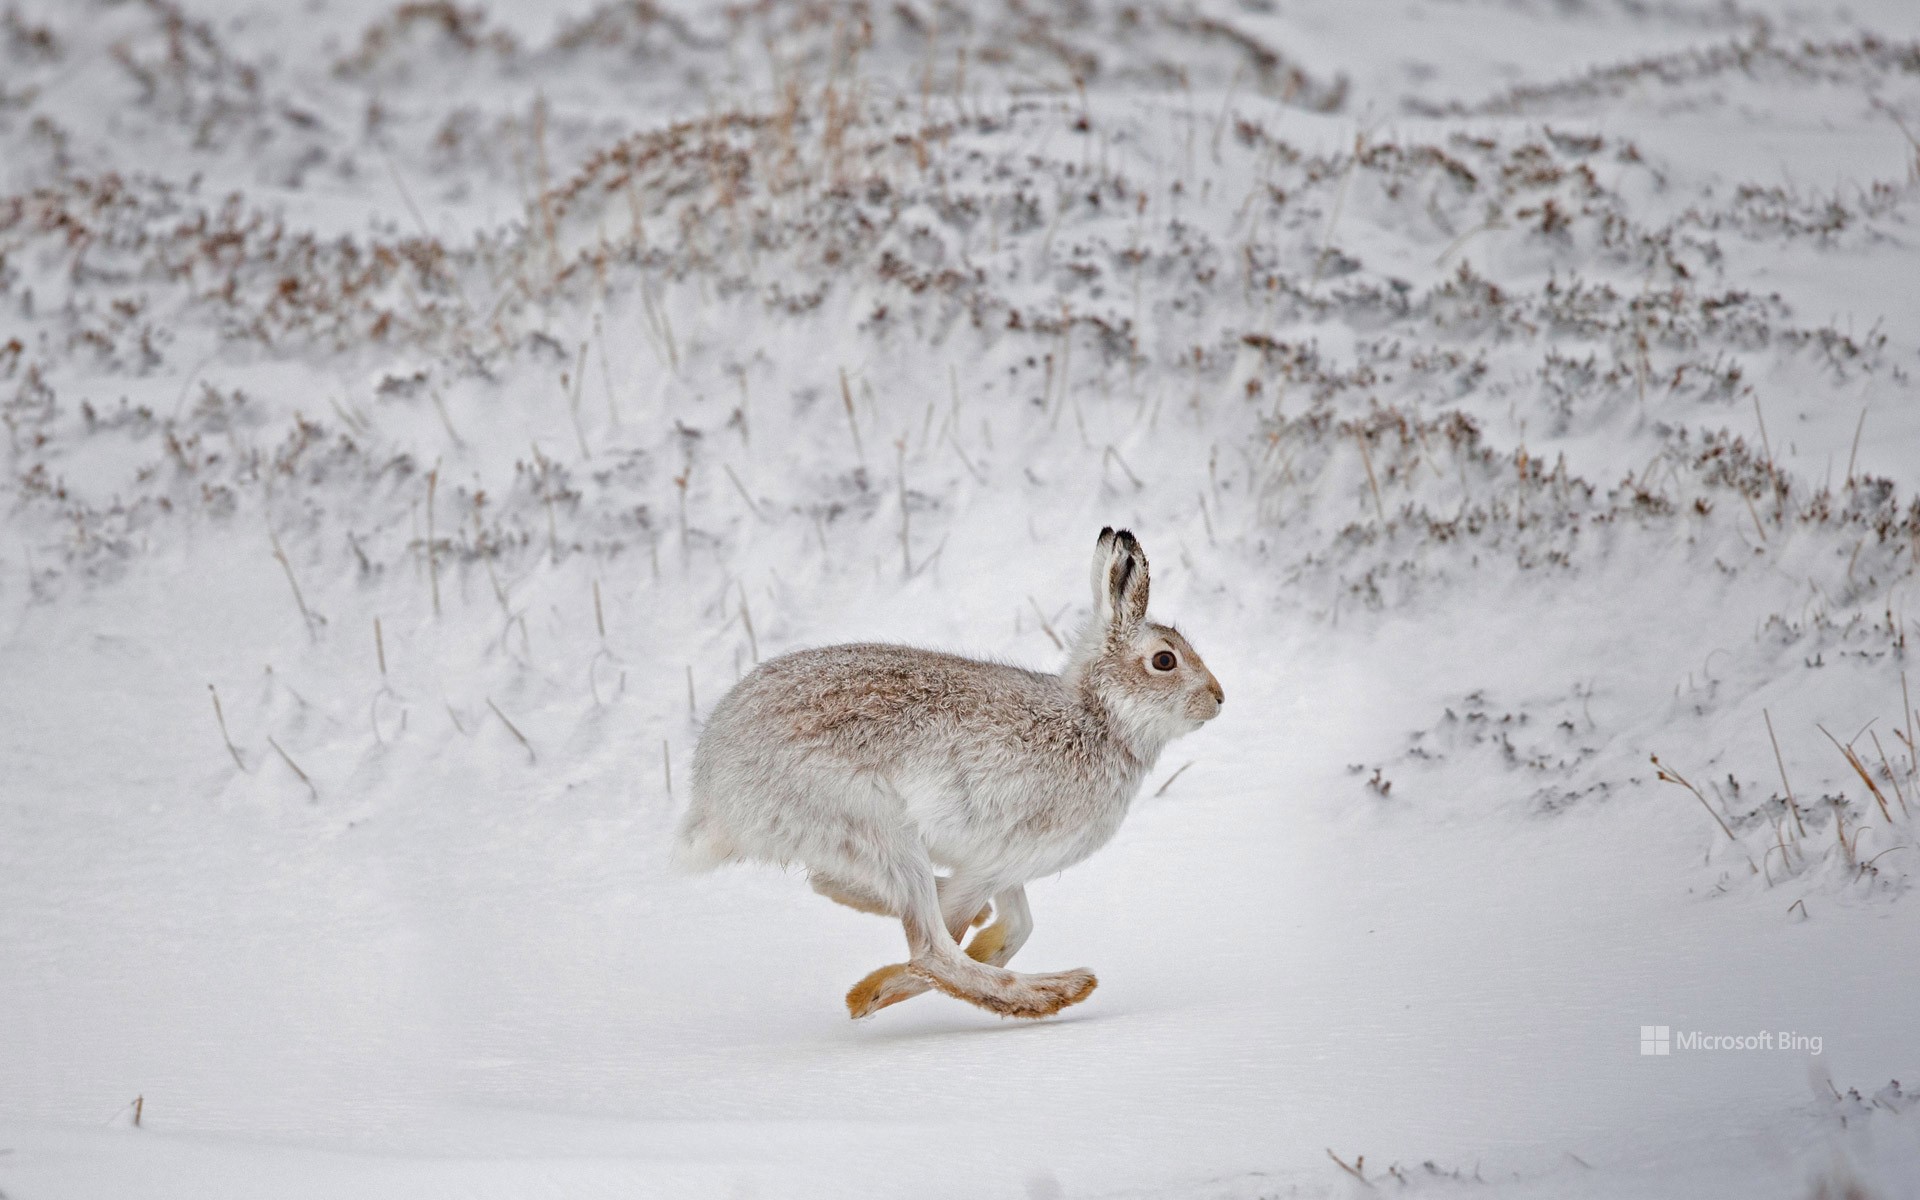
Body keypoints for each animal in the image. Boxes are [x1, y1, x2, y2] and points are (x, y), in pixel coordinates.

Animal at [678, 528, 1223, 1019]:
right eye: (1164, 660)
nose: (1218, 699)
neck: (1099, 718)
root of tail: (715, 791)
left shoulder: (1007, 869)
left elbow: (1018, 925)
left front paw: (980, 943)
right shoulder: (996, 860)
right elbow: (961, 936)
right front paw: (881, 991)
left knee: (840, 888)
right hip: (877, 826)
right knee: (931, 949)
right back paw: (1052, 990)